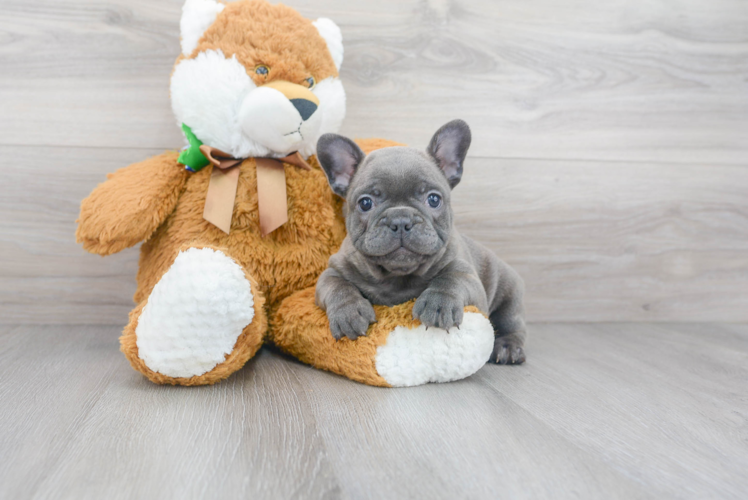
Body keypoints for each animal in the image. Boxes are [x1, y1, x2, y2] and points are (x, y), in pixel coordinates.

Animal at [314, 120, 524, 364]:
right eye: (365, 203)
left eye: (433, 199)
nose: (400, 219)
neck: (396, 276)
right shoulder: (332, 271)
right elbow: (338, 287)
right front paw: (348, 313)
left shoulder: (468, 277)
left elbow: (451, 279)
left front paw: (439, 304)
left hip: (510, 295)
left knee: (513, 325)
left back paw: (508, 348)